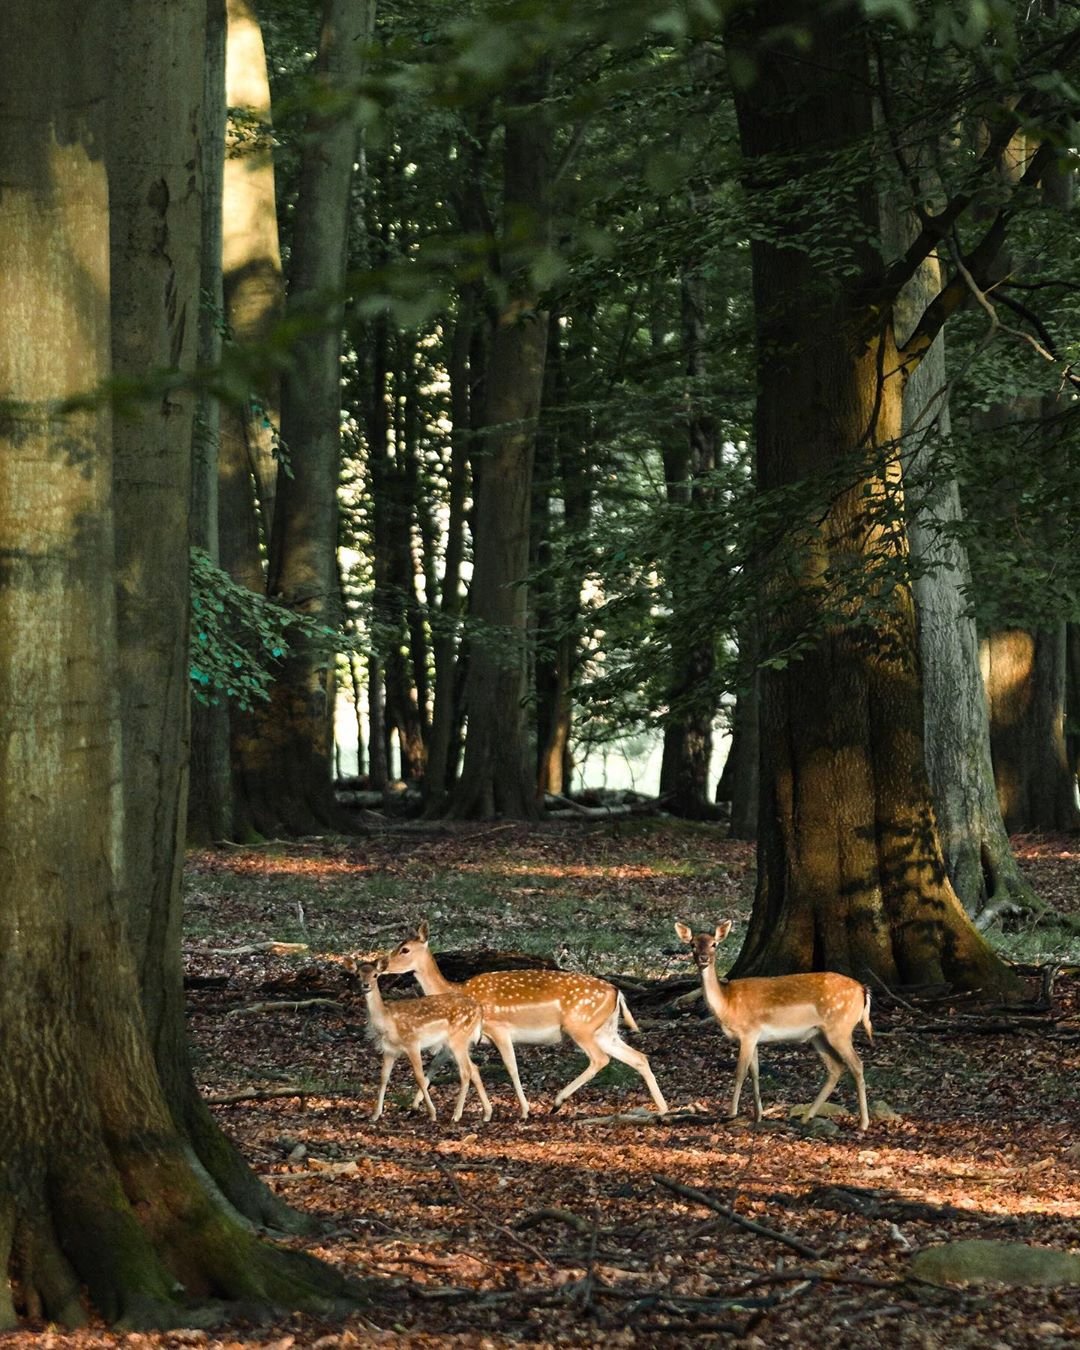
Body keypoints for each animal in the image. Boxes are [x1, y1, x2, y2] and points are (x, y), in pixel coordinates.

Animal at [348, 956, 492, 1124]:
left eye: (375, 975)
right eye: (357, 975)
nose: (366, 985)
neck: (387, 1022)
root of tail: (479, 1010)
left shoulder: (412, 1043)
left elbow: (419, 1077)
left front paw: (432, 1113)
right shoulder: (389, 1049)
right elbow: (383, 1077)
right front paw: (375, 1115)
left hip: (458, 1038)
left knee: (465, 1071)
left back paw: (456, 1115)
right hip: (460, 1042)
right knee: (474, 1068)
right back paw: (487, 1113)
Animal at [384, 922, 669, 1119]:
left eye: (404, 949)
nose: (382, 964)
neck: (458, 990)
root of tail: (616, 991)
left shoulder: (497, 1028)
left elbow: (512, 1067)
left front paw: (524, 1110)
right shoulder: (461, 1038)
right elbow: (435, 1064)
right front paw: (414, 1106)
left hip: (580, 1026)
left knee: (600, 1059)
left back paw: (557, 1102)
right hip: (605, 1030)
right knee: (639, 1057)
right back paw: (664, 1109)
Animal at [674, 920, 872, 1130]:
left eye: (714, 944)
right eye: (692, 945)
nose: (703, 958)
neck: (727, 1005)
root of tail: (863, 989)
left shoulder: (748, 1032)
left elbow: (740, 1071)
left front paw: (731, 1112)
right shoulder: (754, 1038)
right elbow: (754, 1072)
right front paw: (758, 1115)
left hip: (840, 1029)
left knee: (857, 1064)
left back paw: (863, 1123)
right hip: (818, 1035)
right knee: (836, 1068)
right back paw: (806, 1117)